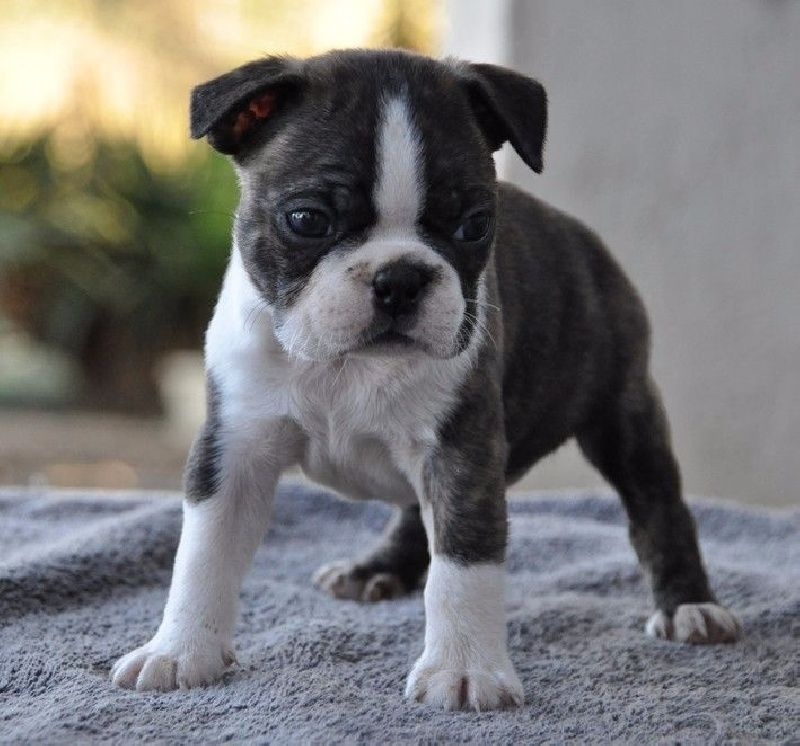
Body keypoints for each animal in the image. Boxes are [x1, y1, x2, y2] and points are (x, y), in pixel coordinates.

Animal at [110, 49, 741, 711]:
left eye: (473, 226)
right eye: (307, 220)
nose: (400, 278)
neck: (344, 365)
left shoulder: (463, 450)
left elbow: (463, 562)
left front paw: (463, 669)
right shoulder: (234, 447)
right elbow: (203, 555)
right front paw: (180, 651)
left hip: (623, 414)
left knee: (658, 505)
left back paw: (691, 605)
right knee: (415, 513)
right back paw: (375, 569)